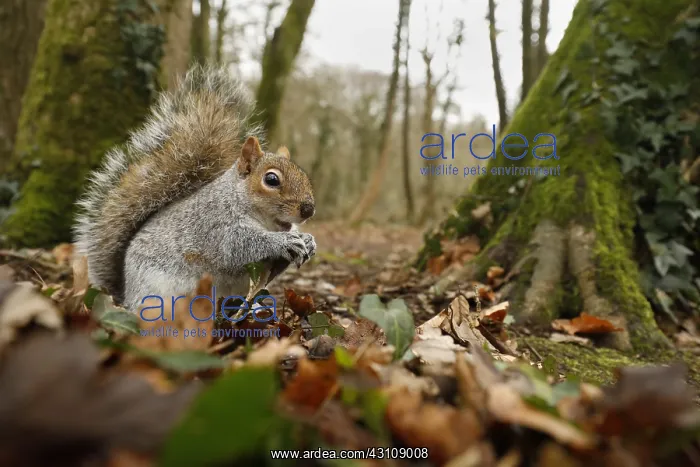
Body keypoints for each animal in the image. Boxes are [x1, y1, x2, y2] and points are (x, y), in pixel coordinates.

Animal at [74, 65, 317, 312]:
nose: (308, 209)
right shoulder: (215, 226)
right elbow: (237, 248)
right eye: (271, 179)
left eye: (304, 175)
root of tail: (125, 296)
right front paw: (284, 241)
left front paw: (308, 241)